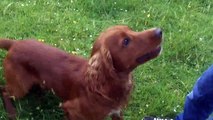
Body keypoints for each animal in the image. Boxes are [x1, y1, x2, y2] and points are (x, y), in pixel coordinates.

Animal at [0, 25, 163, 119]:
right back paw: (12, 112)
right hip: (20, 87)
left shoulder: (117, 113)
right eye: (126, 41)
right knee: (4, 91)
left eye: (131, 29)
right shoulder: (70, 109)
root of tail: (15, 43)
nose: (159, 31)